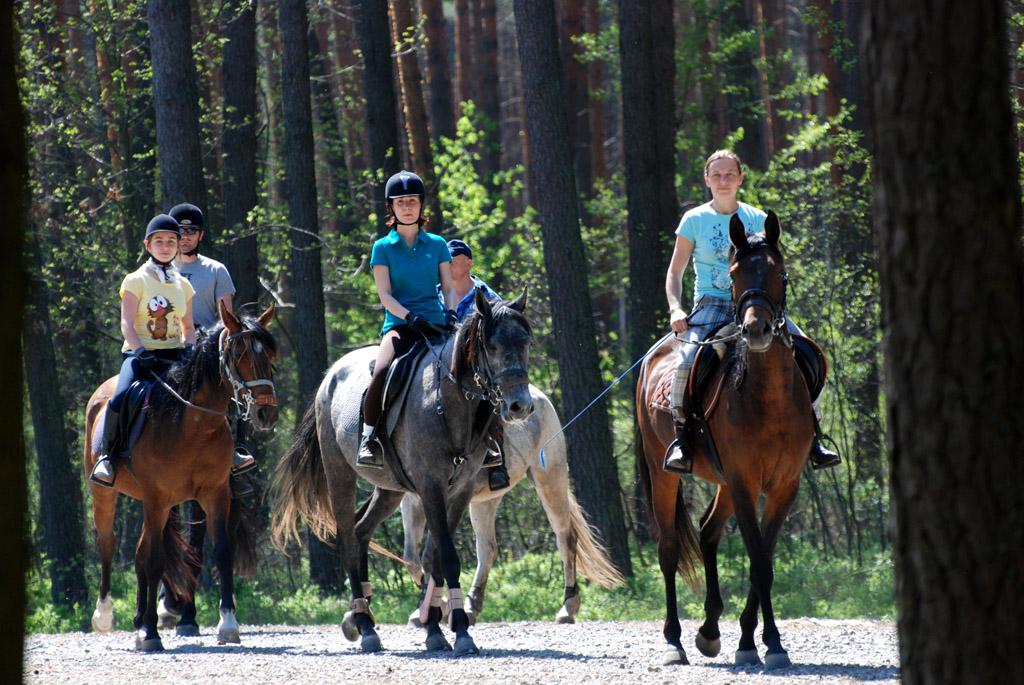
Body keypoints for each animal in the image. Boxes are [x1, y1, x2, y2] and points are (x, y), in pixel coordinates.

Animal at [84, 301, 278, 651]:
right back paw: (105, 616)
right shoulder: (158, 499)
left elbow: (221, 552)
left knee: (138, 551)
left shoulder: (215, 494)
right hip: (105, 494)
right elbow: (155, 560)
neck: (194, 424)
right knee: (107, 544)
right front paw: (151, 634)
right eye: (238, 352)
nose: (265, 413)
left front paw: (228, 624)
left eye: (269, 354)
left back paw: (138, 620)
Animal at [268, 286, 540, 651]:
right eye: (493, 346)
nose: (519, 406)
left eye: (526, 343)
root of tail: (331, 374)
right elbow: (446, 556)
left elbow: (436, 558)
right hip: (340, 474)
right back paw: (364, 625)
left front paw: (437, 625)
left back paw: (358, 616)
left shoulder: (460, 491)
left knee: (361, 530)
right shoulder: (431, 488)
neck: (449, 401)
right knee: (347, 536)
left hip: (390, 489)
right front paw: (456, 629)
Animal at [399, 384, 622, 626]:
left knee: (565, 537)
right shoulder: (411, 500)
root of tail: (539, 396)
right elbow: (411, 559)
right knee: (487, 549)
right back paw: (471, 606)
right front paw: (428, 608)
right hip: (485, 500)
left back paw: (568, 607)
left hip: (549, 480)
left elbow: (432, 554)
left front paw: (438, 606)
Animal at [634, 211, 811, 667]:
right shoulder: (745, 483)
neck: (770, 398)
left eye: (779, 273)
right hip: (666, 474)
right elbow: (759, 562)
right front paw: (766, 644)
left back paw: (710, 630)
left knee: (707, 531)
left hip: (724, 482)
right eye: (734, 274)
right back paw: (674, 641)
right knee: (669, 548)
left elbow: (763, 559)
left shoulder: (783, 487)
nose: (756, 329)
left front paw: (755, 640)